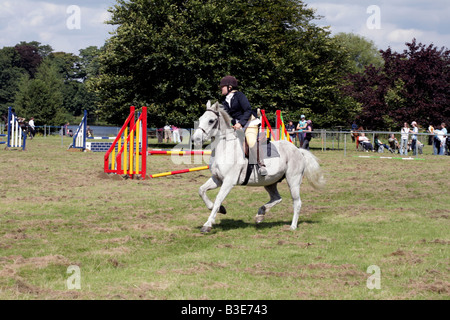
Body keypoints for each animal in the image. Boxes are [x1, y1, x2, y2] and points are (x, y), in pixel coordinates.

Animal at [192, 102, 326, 232]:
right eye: (200, 119)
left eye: (211, 121)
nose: (195, 139)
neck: (225, 148)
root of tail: (298, 150)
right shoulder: (217, 179)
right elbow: (201, 191)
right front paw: (221, 209)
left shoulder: (229, 181)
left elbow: (218, 198)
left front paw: (207, 224)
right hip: (270, 182)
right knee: (277, 198)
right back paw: (260, 214)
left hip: (293, 180)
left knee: (297, 202)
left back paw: (292, 226)